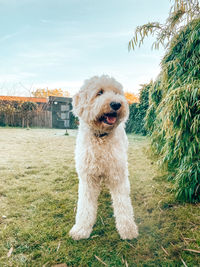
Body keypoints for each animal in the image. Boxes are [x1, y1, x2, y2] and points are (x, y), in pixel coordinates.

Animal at [69, 75, 138, 241]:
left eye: (117, 93)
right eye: (99, 92)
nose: (116, 104)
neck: (101, 137)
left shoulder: (118, 175)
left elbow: (123, 204)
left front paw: (127, 229)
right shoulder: (88, 178)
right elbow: (85, 206)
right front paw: (81, 229)